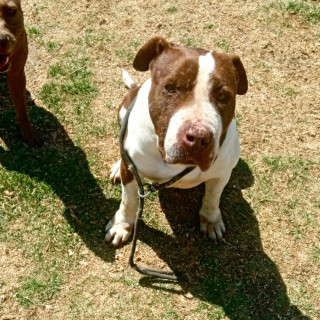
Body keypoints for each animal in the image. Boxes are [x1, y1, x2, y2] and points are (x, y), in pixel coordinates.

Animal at [106, 37, 249, 245]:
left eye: (223, 96)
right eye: (170, 87)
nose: (198, 137)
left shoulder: (221, 174)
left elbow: (213, 197)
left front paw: (211, 220)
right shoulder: (133, 173)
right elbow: (129, 200)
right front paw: (121, 224)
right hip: (123, 111)